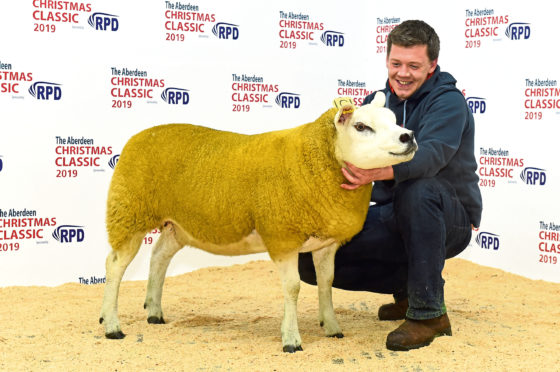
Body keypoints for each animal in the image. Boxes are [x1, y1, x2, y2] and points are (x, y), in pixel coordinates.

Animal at [99, 91, 416, 354]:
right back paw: (111, 324)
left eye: (394, 121)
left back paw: (154, 312)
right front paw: (291, 340)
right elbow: (294, 288)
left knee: (159, 256)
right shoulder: (282, 236)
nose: (408, 137)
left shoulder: (326, 243)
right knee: (114, 265)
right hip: (128, 213)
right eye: (361, 126)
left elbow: (326, 283)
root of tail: (140, 135)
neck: (318, 159)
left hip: (177, 225)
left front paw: (332, 327)